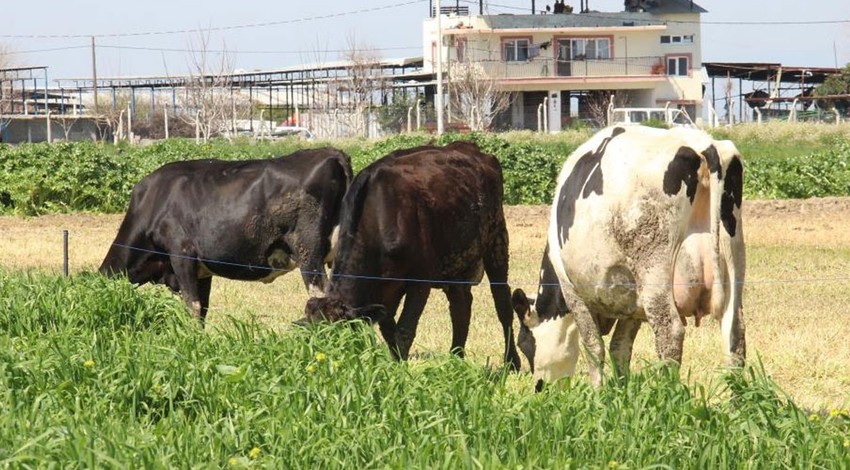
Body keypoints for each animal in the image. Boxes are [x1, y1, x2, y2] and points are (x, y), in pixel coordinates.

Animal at [99, 147, 352, 324]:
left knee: (320, 299)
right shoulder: (202, 271)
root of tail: (332, 152)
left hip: (308, 252)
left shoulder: (182, 254)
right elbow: (203, 309)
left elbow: (192, 307)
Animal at [298, 140, 524, 370]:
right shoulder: (383, 292)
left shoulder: (420, 280)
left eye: (342, 336)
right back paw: (455, 361)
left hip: (497, 240)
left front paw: (400, 372)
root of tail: (471, 148)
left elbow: (405, 331)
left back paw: (511, 362)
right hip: (456, 259)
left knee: (502, 303)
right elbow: (389, 332)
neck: (378, 220)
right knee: (460, 308)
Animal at [510, 125, 744, 390]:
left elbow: (593, 347)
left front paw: (598, 392)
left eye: (524, 344)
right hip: (733, 264)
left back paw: (669, 393)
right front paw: (622, 392)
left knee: (670, 333)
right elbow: (619, 349)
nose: (539, 388)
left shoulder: (574, 293)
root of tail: (702, 144)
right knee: (735, 336)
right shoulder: (632, 302)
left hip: (655, 276)